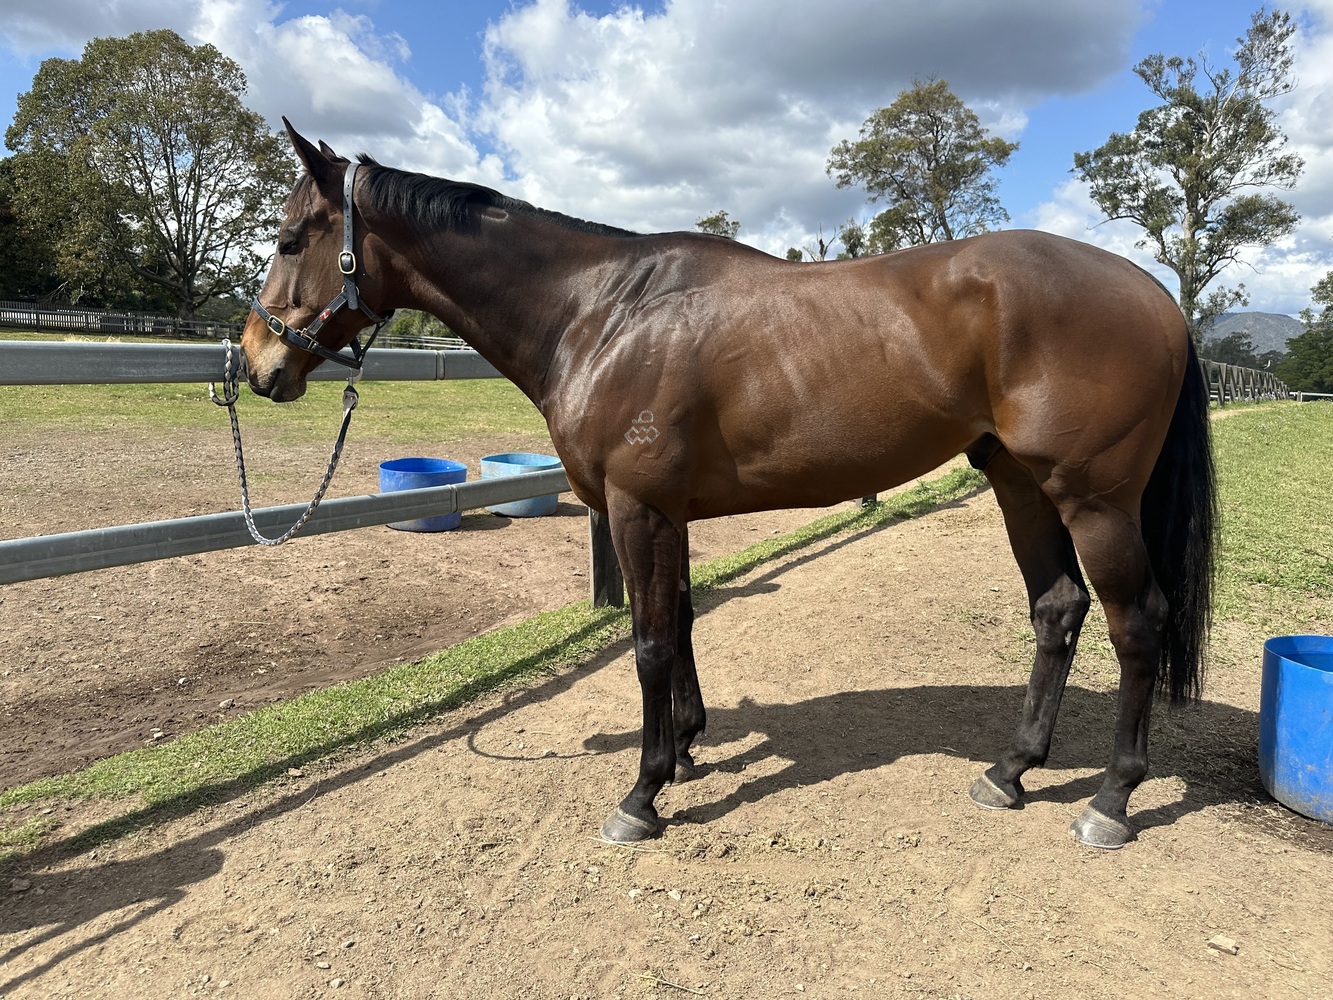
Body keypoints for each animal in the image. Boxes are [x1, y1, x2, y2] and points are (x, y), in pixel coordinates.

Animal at [240, 121, 1215, 850]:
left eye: (289, 240)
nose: (256, 365)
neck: (601, 313)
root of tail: (1155, 295)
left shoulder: (635, 508)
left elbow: (647, 643)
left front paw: (641, 795)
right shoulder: (667, 511)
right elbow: (680, 620)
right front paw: (684, 749)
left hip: (1093, 501)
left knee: (1136, 625)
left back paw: (1109, 802)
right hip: (1019, 485)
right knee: (1057, 610)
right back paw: (1010, 773)